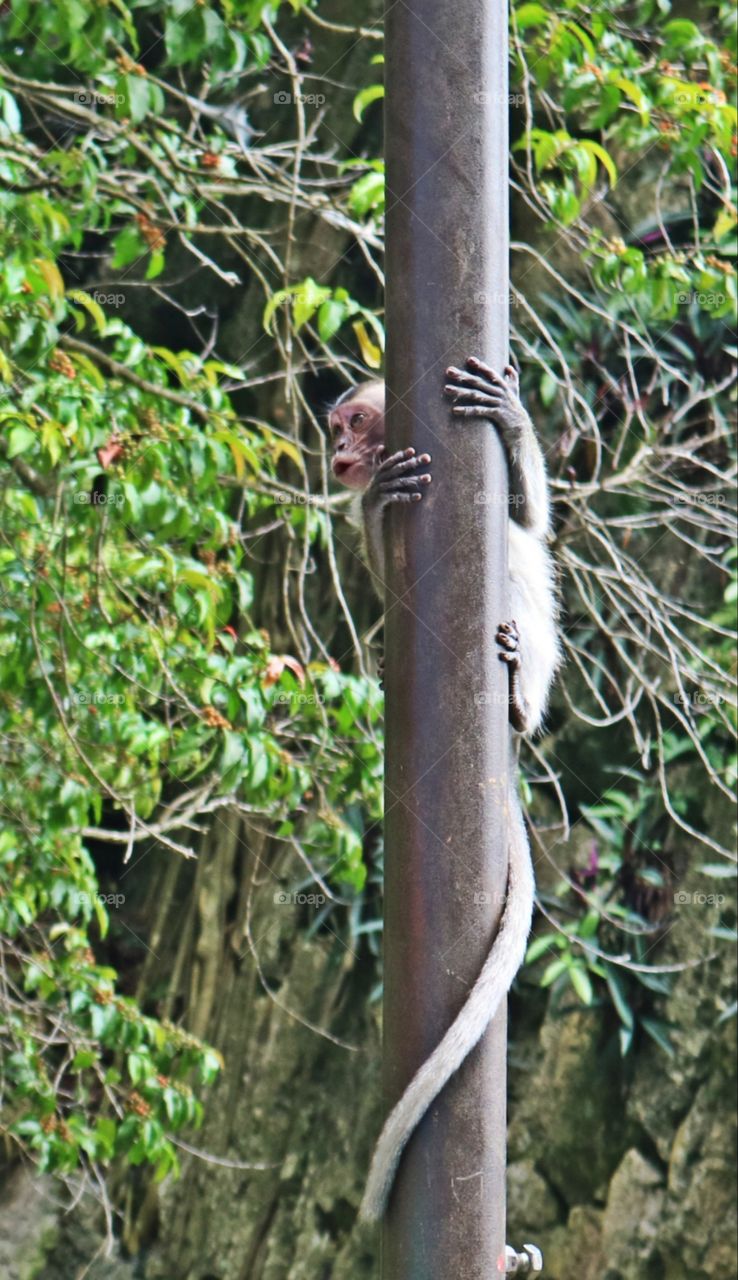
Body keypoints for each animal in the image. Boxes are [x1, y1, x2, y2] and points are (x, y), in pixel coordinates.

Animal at [330, 356, 560, 1222]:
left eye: (352, 423)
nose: (337, 453)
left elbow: (531, 521)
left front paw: (511, 415)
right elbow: (376, 547)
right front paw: (377, 501)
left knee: (520, 554)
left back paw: (520, 702)